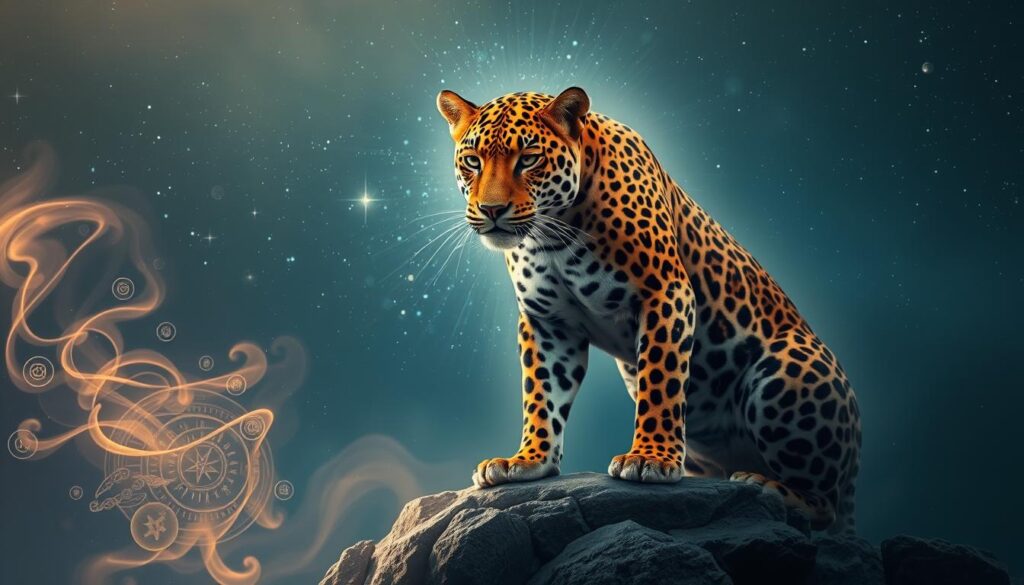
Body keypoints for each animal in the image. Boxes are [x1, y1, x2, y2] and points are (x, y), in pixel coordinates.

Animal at [436, 87, 861, 532]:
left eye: (530, 158)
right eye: (472, 161)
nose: (491, 209)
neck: (553, 235)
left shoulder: (666, 293)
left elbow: (661, 381)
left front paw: (649, 459)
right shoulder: (547, 323)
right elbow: (541, 394)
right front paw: (529, 460)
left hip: (784, 373)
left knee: (825, 503)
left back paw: (763, 485)